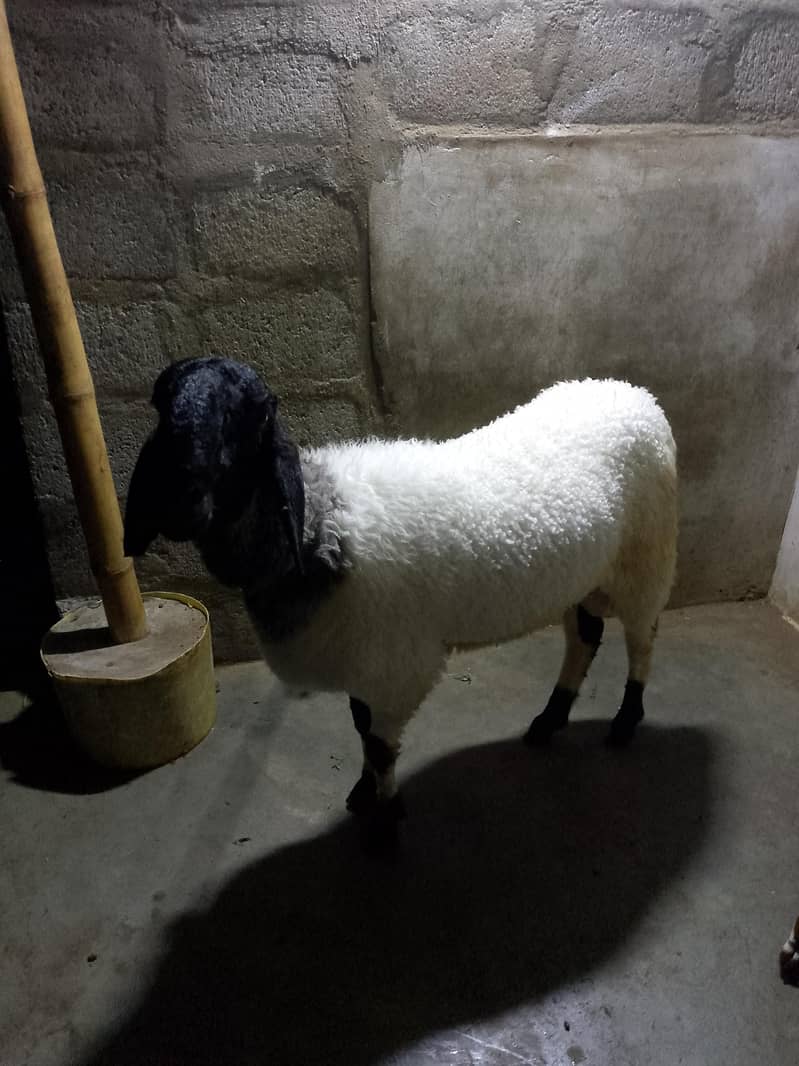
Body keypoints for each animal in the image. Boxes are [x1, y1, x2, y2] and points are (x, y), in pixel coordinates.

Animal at [124, 356, 678, 844]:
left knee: (642, 639)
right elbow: (360, 728)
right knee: (586, 637)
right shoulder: (364, 659)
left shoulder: (396, 668)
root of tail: (630, 392)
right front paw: (363, 792)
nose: (179, 500)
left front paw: (385, 822)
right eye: (161, 402)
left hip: (647, 558)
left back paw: (625, 721)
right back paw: (551, 718)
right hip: (583, 576)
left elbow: (379, 745)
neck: (323, 528)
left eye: (255, 413)